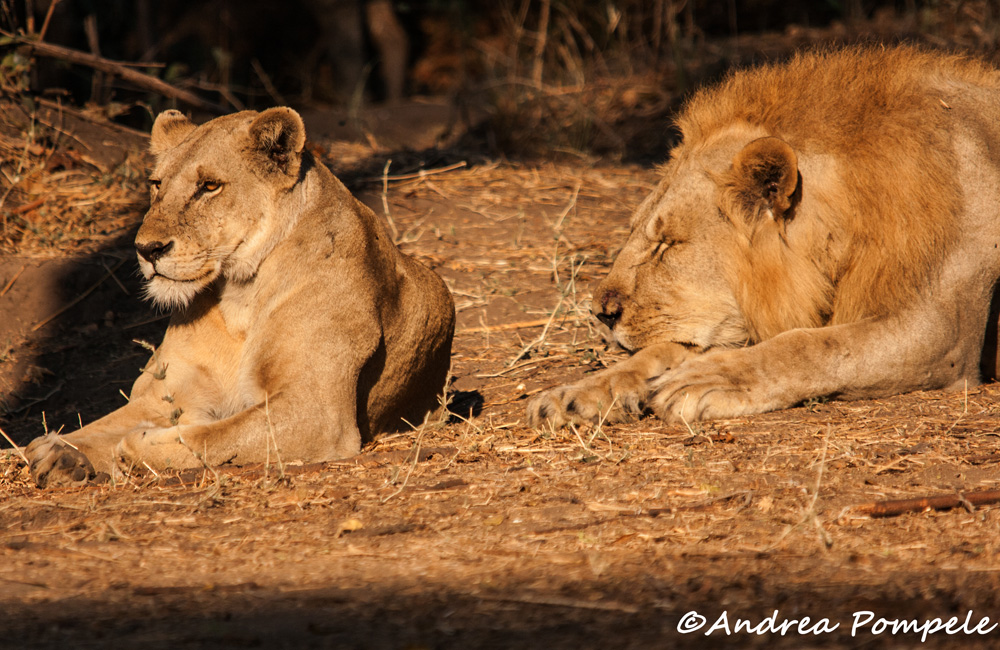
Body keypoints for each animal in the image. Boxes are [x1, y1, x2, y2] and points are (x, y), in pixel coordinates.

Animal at [26, 106, 458, 484]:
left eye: (209, 186)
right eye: (157, 185)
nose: (146, 249)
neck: (240, 296)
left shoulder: (316, 413)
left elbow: (214, 436)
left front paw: (134, 447)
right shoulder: (165, 393)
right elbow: (106, 423)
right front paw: (60, 451)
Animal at [536, 48, 1000, 428]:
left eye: (666, 244)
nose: (601, 314)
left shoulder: (941, 333)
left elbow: (810, 344)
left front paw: (709, 378)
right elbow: (660, 352)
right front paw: (580, 392)